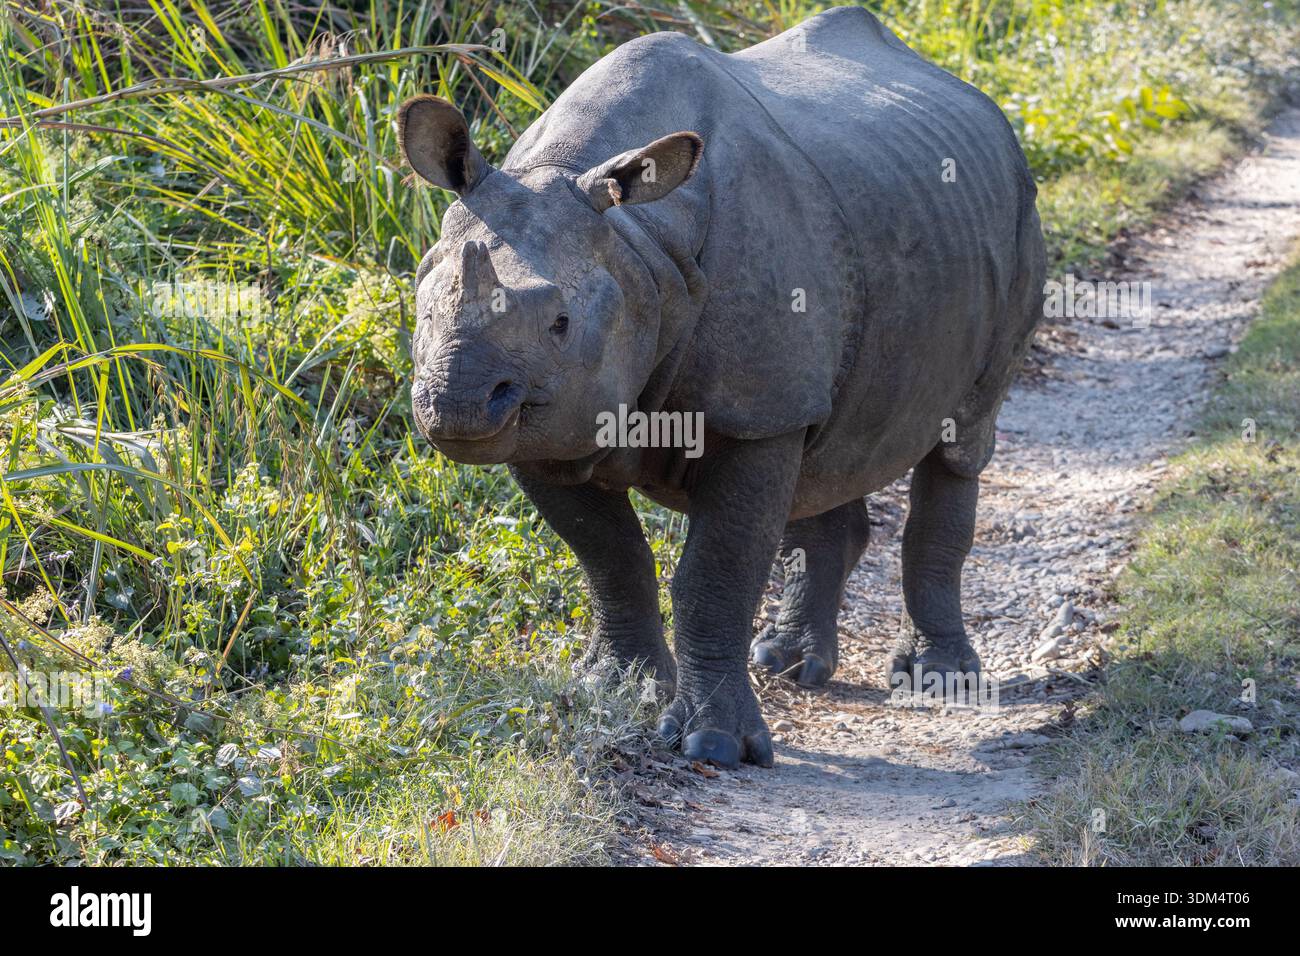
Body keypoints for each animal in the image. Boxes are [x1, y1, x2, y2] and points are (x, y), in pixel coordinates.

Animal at [399, 6, 1045, 768]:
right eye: (422, 308)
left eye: (560, 323)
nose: (457, 402)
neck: (636, 242)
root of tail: (978, 101)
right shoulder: (550, 420)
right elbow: (610, 556)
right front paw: (618, 688)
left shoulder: (748, 410)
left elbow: (717, 570)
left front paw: (714, 744)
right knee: (828, 446)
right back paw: (787, 662)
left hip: (1017, 216)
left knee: (960, 440)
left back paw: (937, 681)